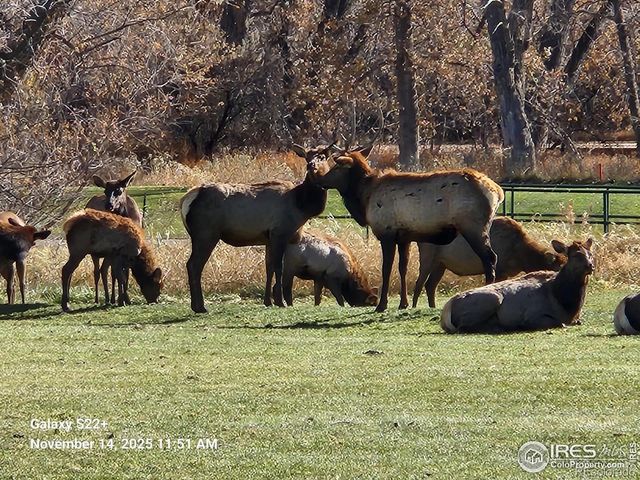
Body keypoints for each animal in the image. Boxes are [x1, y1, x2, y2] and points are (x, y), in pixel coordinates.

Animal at [85, 171, 142, 305]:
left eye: (119, 191)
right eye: (105, 191)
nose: (109, 205)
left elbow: (125, 273)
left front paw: (125, 298)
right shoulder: (117, 250)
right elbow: (119, 274)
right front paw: (122, 299)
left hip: (108, 253)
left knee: (105, 270)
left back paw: (110, 298)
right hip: (95, 250)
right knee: (97, 271)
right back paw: (98, 299)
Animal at [180, 145, 331, 313]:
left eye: (323, 157)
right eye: (307, 157)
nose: (311, 166)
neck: (302, 206)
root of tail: (186, 200)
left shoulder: (268, 239)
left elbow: (268, 268)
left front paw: (268, 301)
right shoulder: (280, 233)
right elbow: (279, 267)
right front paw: (280, 301)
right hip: (206, 234)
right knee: (194, 265)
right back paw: (199, 306)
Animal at [306, 146, 504, 312]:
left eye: (336, 166)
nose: (319, 179)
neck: (364, 197)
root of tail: (498, 192)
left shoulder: (387, 233)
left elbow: (386, 268)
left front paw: (382, 305)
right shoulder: (404, 238)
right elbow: (403, 268)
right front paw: (403, 303)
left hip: (473, 226)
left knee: (490, 257)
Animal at [413, 216, 568, 308]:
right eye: (557, 269)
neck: (522, 256)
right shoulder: (499, 269)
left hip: (441, 264)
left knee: (430, 285)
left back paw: (432, 307)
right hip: (428, 257)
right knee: (420, 283)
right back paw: (413, 307)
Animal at [440, 239, 594, 333]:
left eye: (590, 254)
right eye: (575, 255)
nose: (590, 265)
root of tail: (448, 306)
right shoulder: (533, 315)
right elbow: (559, 323)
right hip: (493, 298)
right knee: (462, 327)